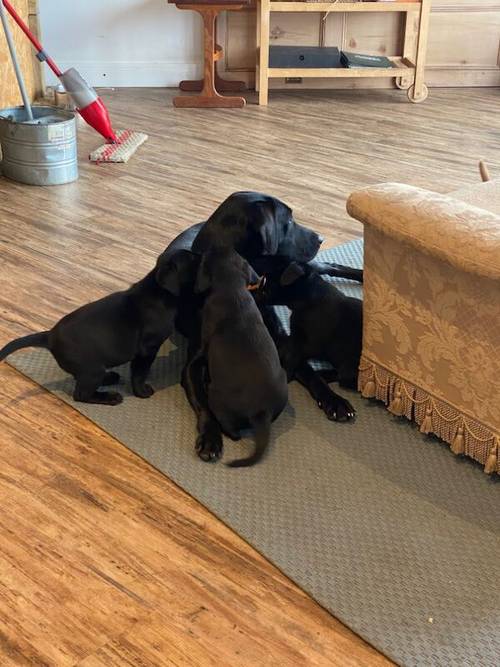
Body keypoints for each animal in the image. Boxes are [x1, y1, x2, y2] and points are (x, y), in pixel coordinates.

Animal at [0, 250, 199, 408]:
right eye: (191, 259)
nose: (200, 254)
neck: (159, 292)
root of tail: (49, 337)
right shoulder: (147, 349)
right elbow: (139, 373)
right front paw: (141, 391)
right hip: (92, 370)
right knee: (81, 394)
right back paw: (110, 397)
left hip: (89, 370)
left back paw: (110, 378)